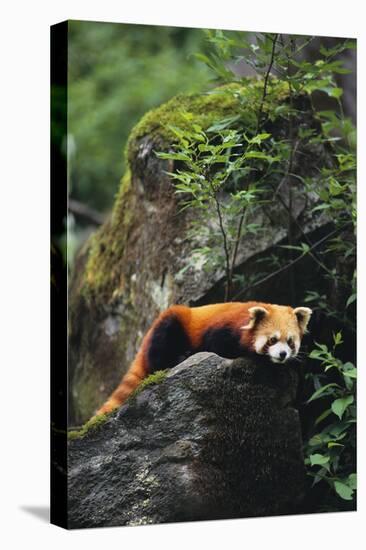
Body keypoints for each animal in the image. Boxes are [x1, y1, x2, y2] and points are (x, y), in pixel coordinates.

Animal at [95, 302, 312, 418]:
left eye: (290, 342)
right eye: (272, 340)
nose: (282, 354)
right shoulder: (222, 329)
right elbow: (214, 346)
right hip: (172, 322)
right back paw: (176, 359)